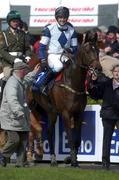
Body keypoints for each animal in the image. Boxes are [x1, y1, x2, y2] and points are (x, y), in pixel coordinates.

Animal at [27, 34, 101, 166]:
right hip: (34, 108)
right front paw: (73, 161)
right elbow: (70, 138)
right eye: (87, 51)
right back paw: (41, 155)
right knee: (36, 129)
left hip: (49, 111)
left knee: (46, 131)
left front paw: (73, 158)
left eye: (98, 51)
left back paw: (47, 156)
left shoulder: (79, 113)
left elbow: (77, 139)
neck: (72, 83)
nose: (98, 68)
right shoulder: (66, 113)